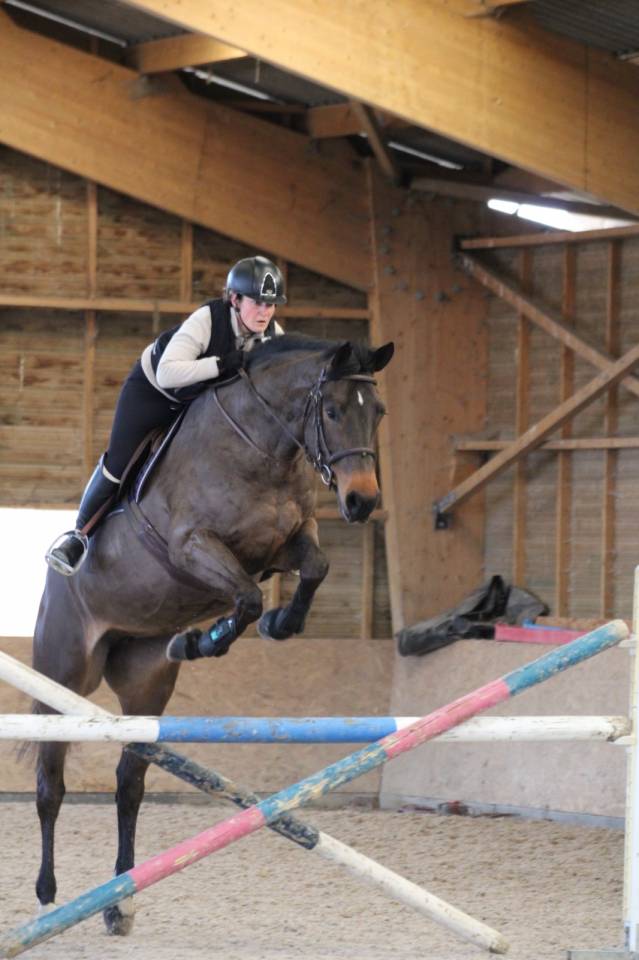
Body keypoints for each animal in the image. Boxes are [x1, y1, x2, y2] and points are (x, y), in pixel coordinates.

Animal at [31, 333, 394, 934]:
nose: (362, 502)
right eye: (333, 411)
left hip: (145, 684)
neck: (264, 447)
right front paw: (206, 638)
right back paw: (46, 895)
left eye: (380, 412)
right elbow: (245, 597)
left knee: (129, 783)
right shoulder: (194, 547)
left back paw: (120, 902)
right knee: (49, 782)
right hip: (61, 677)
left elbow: (312, 571)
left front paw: (273, 626)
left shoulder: (282, 546)